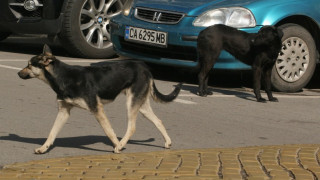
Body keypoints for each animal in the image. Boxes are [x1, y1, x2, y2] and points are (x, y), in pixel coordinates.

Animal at [17, 44, 181, 153]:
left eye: (29, 65)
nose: (18, 73)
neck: (63, 76)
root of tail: (145, 67)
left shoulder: (97, 109)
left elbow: (109, 131)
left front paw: (118, 146)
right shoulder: (64, 111)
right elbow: (52, 132)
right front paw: (43, 148)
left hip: (131, 103)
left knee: (132, 127)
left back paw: (121, 144)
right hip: (142, 106)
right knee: (158, 121)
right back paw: (167, 142)